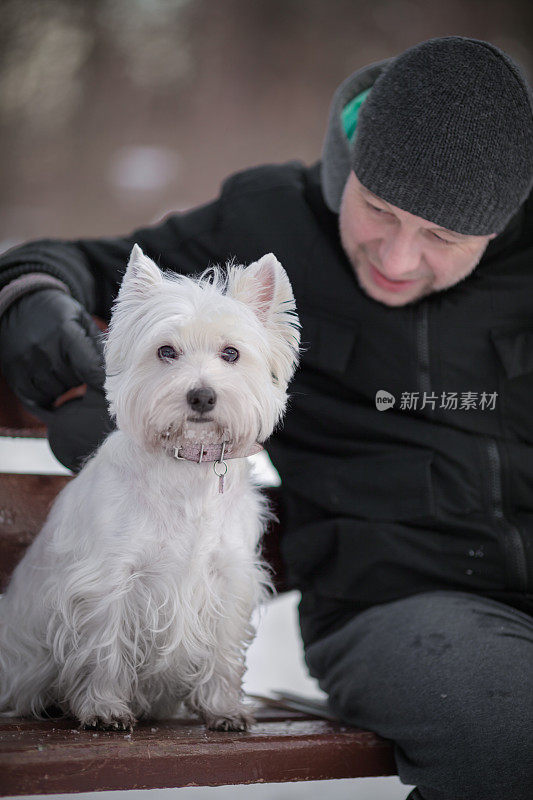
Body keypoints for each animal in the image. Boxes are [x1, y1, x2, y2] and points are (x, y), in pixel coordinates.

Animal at [0, 244, 300, 732]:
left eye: (231, 353)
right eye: (166, 351)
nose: (202, 396)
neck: (189, 468)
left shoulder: (229, 577)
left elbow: (223, 650)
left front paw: (224, 710)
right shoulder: (110, 579)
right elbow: (105, 648)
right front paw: (104, 708)